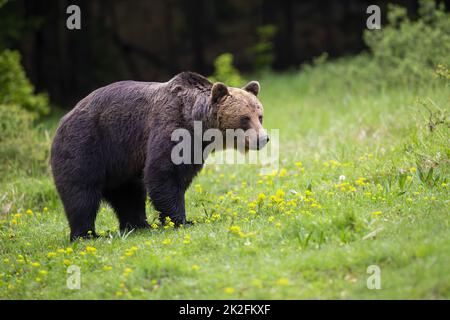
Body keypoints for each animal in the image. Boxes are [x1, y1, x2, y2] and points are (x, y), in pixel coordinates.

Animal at [50, 70, 268, 240]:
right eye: (244, 118)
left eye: (260, 116)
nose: (263, 138)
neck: (198, 124)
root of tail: (64, 118)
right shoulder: (172, 126)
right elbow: (164, 172)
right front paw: (182, 220)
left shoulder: (196, 147)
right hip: (87, 143)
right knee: (81, 191)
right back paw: (87, 234)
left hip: (121, 162)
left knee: (128, 193)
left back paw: (138, 225)